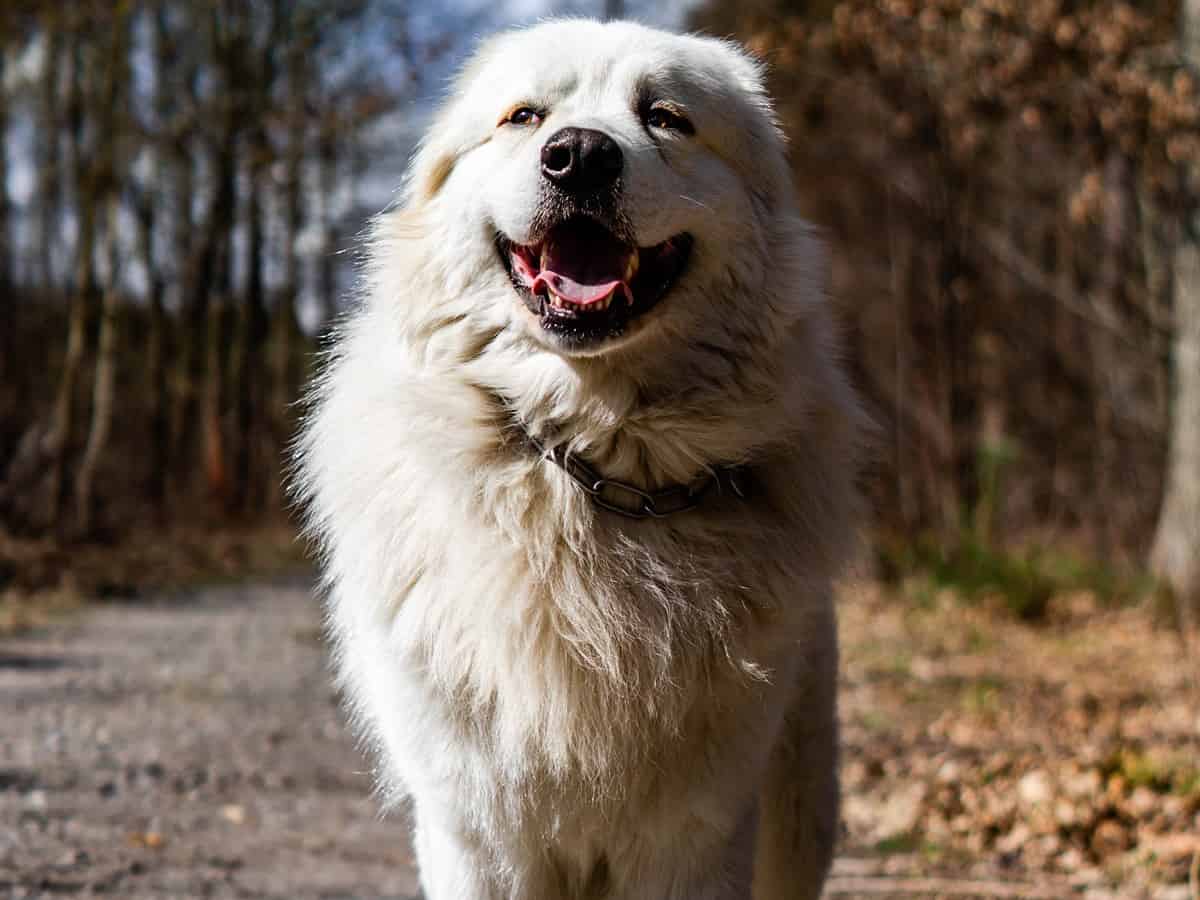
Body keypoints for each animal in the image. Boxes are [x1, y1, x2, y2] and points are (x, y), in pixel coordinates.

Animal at [300, 21, 864, 900]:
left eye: (665, 117)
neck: (590, 473)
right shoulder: (479, 829)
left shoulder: (697, 835)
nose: (580, 156)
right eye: (525, 117)